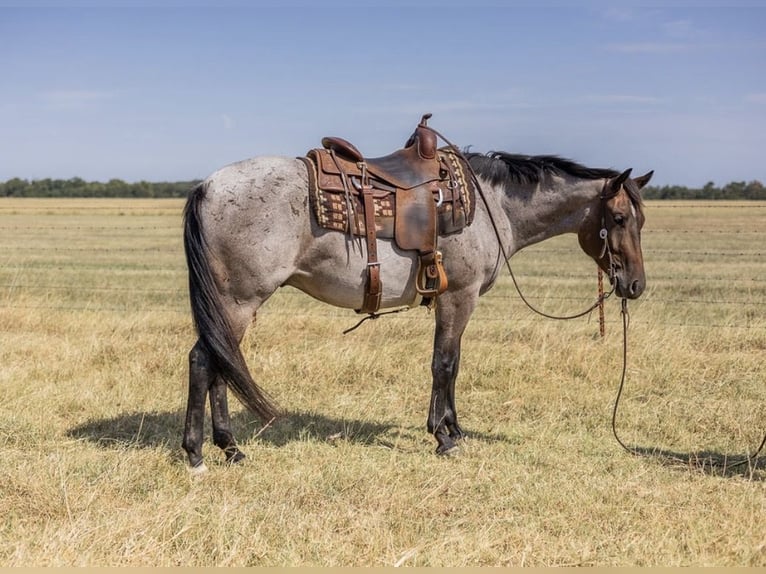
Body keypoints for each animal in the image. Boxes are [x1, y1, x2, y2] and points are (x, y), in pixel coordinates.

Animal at [181, 139, 653, 471]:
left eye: (641, 220)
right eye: (620, 219)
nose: (635, 285)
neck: (491, 206)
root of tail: (207, 185)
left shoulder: (454, 300)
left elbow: (454, 364)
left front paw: (455, 428)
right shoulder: (458, 296)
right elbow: (443, 364)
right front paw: (442, 437)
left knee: (221, 363)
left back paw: (230, 449)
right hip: (238, 301)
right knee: (205, 362)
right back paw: (199, 453)